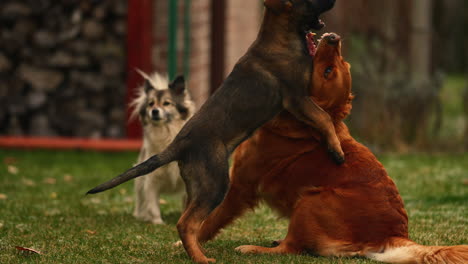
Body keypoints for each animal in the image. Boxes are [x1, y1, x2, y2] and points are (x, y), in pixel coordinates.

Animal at [129, 71, 195, 224]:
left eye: (166, 103)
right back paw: (139, 215)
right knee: (140, 199)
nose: (154, 111)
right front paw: (157, 222)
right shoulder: (151, 180)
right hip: (139, 181)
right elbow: (152, 204)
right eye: (150, 104)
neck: (166, 134)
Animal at [197, 33, 468, 264]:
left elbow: (209, 220)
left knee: (291, 248)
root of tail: (392, 235)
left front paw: (191, 243)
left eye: (329, 71)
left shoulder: (241, 186)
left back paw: (255, 249)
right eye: (343, 62)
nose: (334, 38)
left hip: (311, 200)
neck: (301, 126)